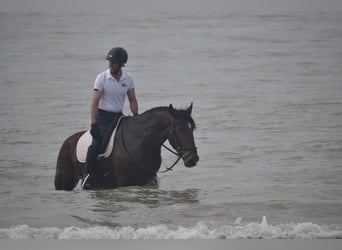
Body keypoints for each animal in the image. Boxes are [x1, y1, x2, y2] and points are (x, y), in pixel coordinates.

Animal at [54, 102, 199, 190]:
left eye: (192, 128)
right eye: (180, 129)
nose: (192, 159)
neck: (141, 142)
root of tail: (68, 141)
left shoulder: (147, 182)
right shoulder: (125, 182)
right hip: (64, 180)